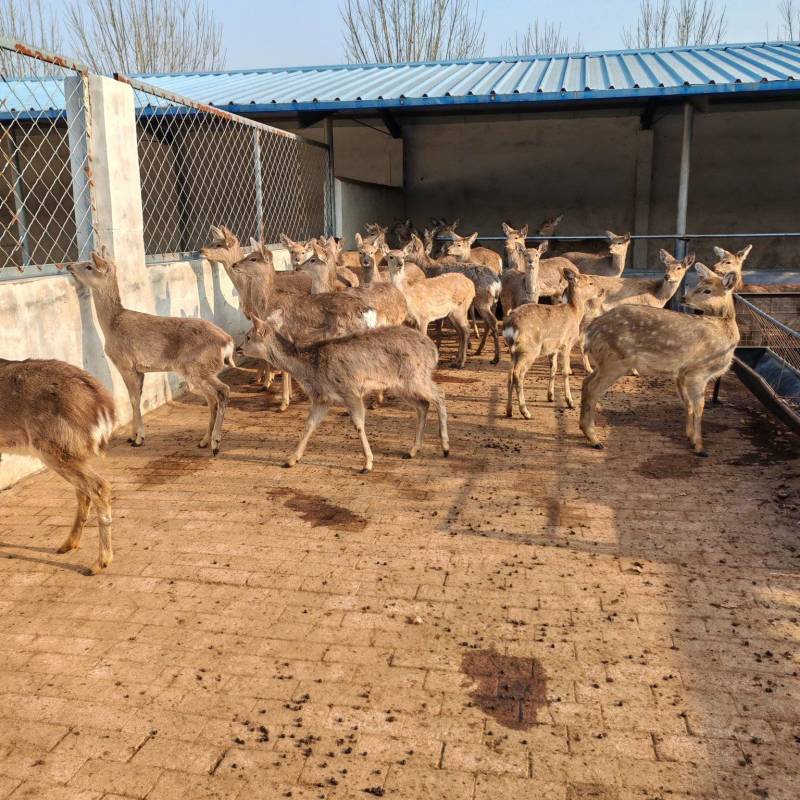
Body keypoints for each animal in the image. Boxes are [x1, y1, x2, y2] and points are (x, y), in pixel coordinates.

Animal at [0, 358, 115, 574]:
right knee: (84, 491)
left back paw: (99, 563)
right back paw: (67, 545)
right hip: (71, 451)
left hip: (53, 448)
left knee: (99, 486)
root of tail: (104, 405)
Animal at [67, 249, 234, 455]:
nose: (69, 266)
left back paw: (215, 443)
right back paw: (204, 441)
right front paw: (133, 436)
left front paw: (138, 438)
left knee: (223, 391)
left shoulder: (125, 364)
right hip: (199, 371)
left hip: (197, 367)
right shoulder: (140, 370)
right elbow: (137, 398)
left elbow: (132, 398)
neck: (111, 326)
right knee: (212, 399)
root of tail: (228, 342)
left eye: (89, 265)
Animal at [237, 311, 450, 474]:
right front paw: (290, 459)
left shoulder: (350, 391)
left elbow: (358, 424)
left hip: (415, 377)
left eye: (248, 336)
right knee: (423, 405)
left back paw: (445, 447)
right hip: (401, 385)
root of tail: (433, 351)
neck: (311, 369)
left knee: (440, 396)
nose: (238, 348)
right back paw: (412, 450)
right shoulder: (322, 398)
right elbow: (309, 424)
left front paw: (367, 464)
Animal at [503, 265, 601, 418]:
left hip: (513, 351)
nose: (602, 290)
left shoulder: (553, 348)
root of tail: (510, 326)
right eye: (590, 283)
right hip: (529, 350)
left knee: (509, 375)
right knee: (517, 374)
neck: (575, 312)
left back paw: (509, 411)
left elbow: (553, 369)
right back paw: (525, 412)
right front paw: (570, 402)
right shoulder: (567, 343)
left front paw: (550, 396)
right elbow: (565, 371)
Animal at [580, 265, 740, 457]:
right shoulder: (698, 371)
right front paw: (700, 448)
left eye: (707, 290)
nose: (684, 298)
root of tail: (592, 329)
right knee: (593, 389)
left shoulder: (681, 373)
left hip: (604, 361)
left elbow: (687, 403)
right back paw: (594, 439)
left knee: (586, 381)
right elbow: (699, 407)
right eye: (698, 285)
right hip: (615, 361)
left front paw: (690, 438)